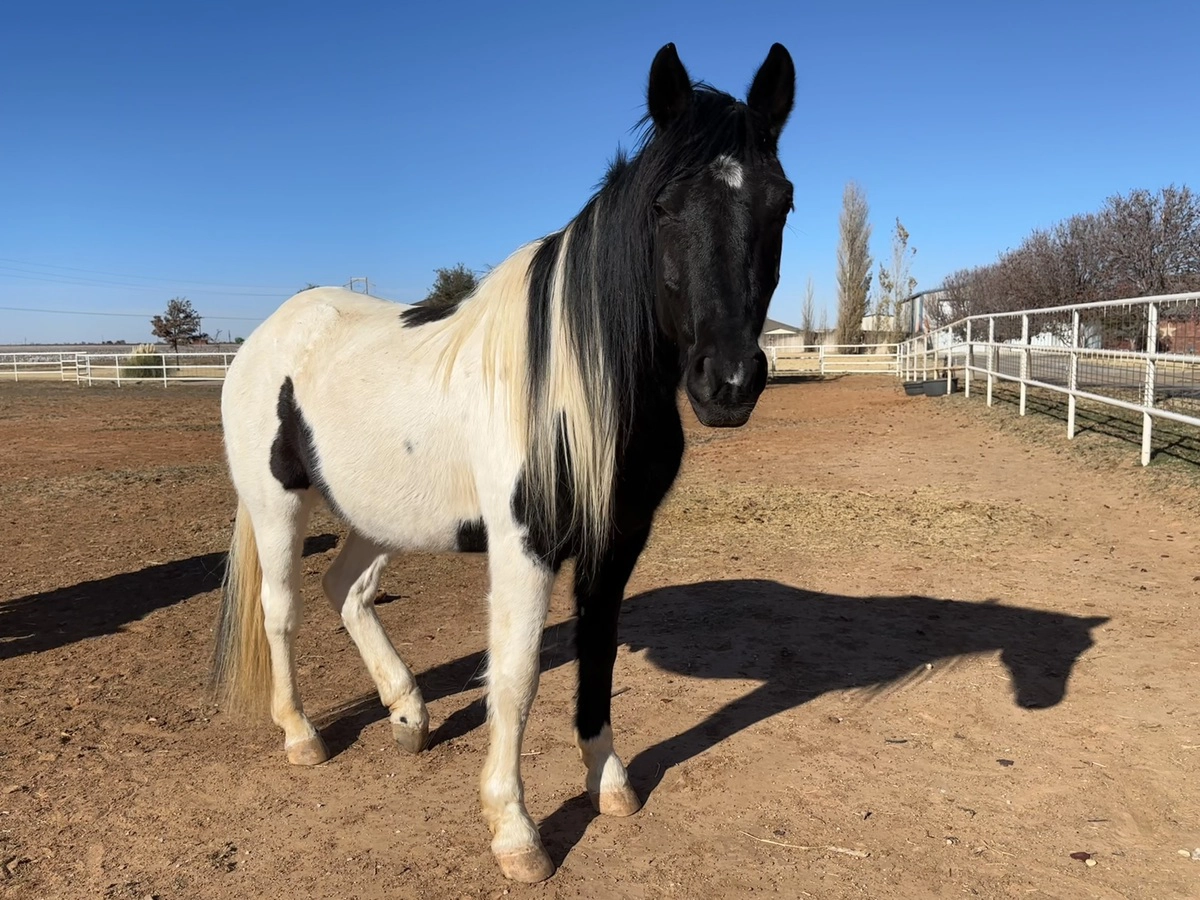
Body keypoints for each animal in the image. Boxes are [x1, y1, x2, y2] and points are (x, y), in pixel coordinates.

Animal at [212, 41, 795, 883]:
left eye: (781, 202)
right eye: (662, 206)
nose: (729, 382)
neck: (580, 382)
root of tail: (267, 333)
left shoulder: (617, 542)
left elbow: (596, 655)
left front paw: (608, 783)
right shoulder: (526, 544)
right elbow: (515, 678)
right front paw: (516, 832)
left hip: (379, 510)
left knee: (346, 588)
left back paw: (409, 713)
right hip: (277, 502)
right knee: (282, 609)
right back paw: (301, 735)